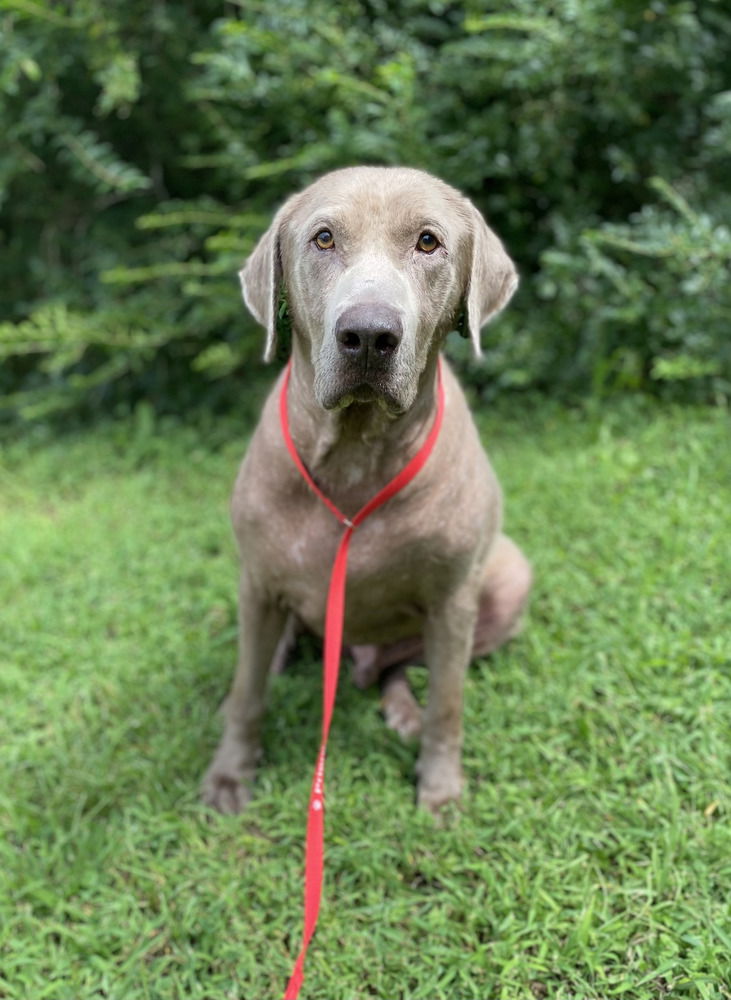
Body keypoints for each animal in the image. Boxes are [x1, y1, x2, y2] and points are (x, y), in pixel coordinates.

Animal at [203, 166, 536, 812]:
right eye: (324, 238)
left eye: (429, 242)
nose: (368, 334)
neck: (357, 453)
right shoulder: (259, 583)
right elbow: (247, 693)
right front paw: (230, 774)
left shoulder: (453, 601)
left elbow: (448, 703)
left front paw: (440, 788)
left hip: (508, 577)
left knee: (396, 668)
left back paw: (401, 708)